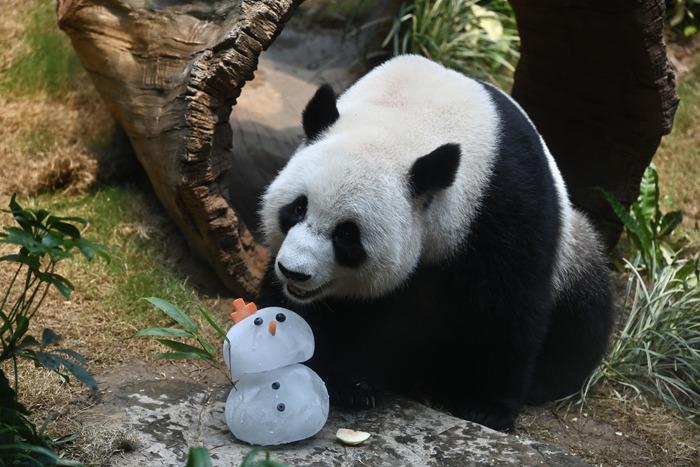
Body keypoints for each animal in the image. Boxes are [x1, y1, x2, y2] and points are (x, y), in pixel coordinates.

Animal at [258, 54, 612, 432]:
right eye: (297, 208)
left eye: (347, 235)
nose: (294, 272)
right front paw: (345, 382)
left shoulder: (504, 203)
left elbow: (509, 306)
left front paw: (487, 407)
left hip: (573, 251)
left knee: (584, 314)